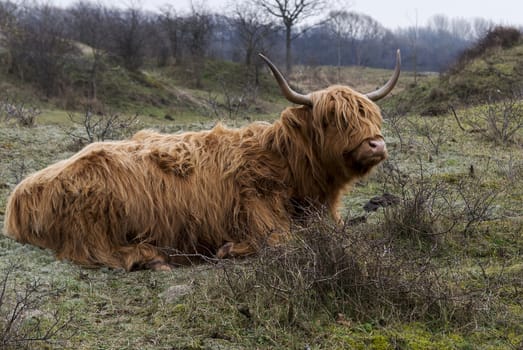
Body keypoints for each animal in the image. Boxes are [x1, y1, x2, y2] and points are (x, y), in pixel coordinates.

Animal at [3, 51, 402, 270]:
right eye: (333, 118)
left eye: (371, 115)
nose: (376, 145)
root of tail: (20, 193)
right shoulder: (260, 213)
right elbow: (283, 241)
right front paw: (229, 249)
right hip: (95, 214)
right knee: (92, 251)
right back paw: (150, 257)